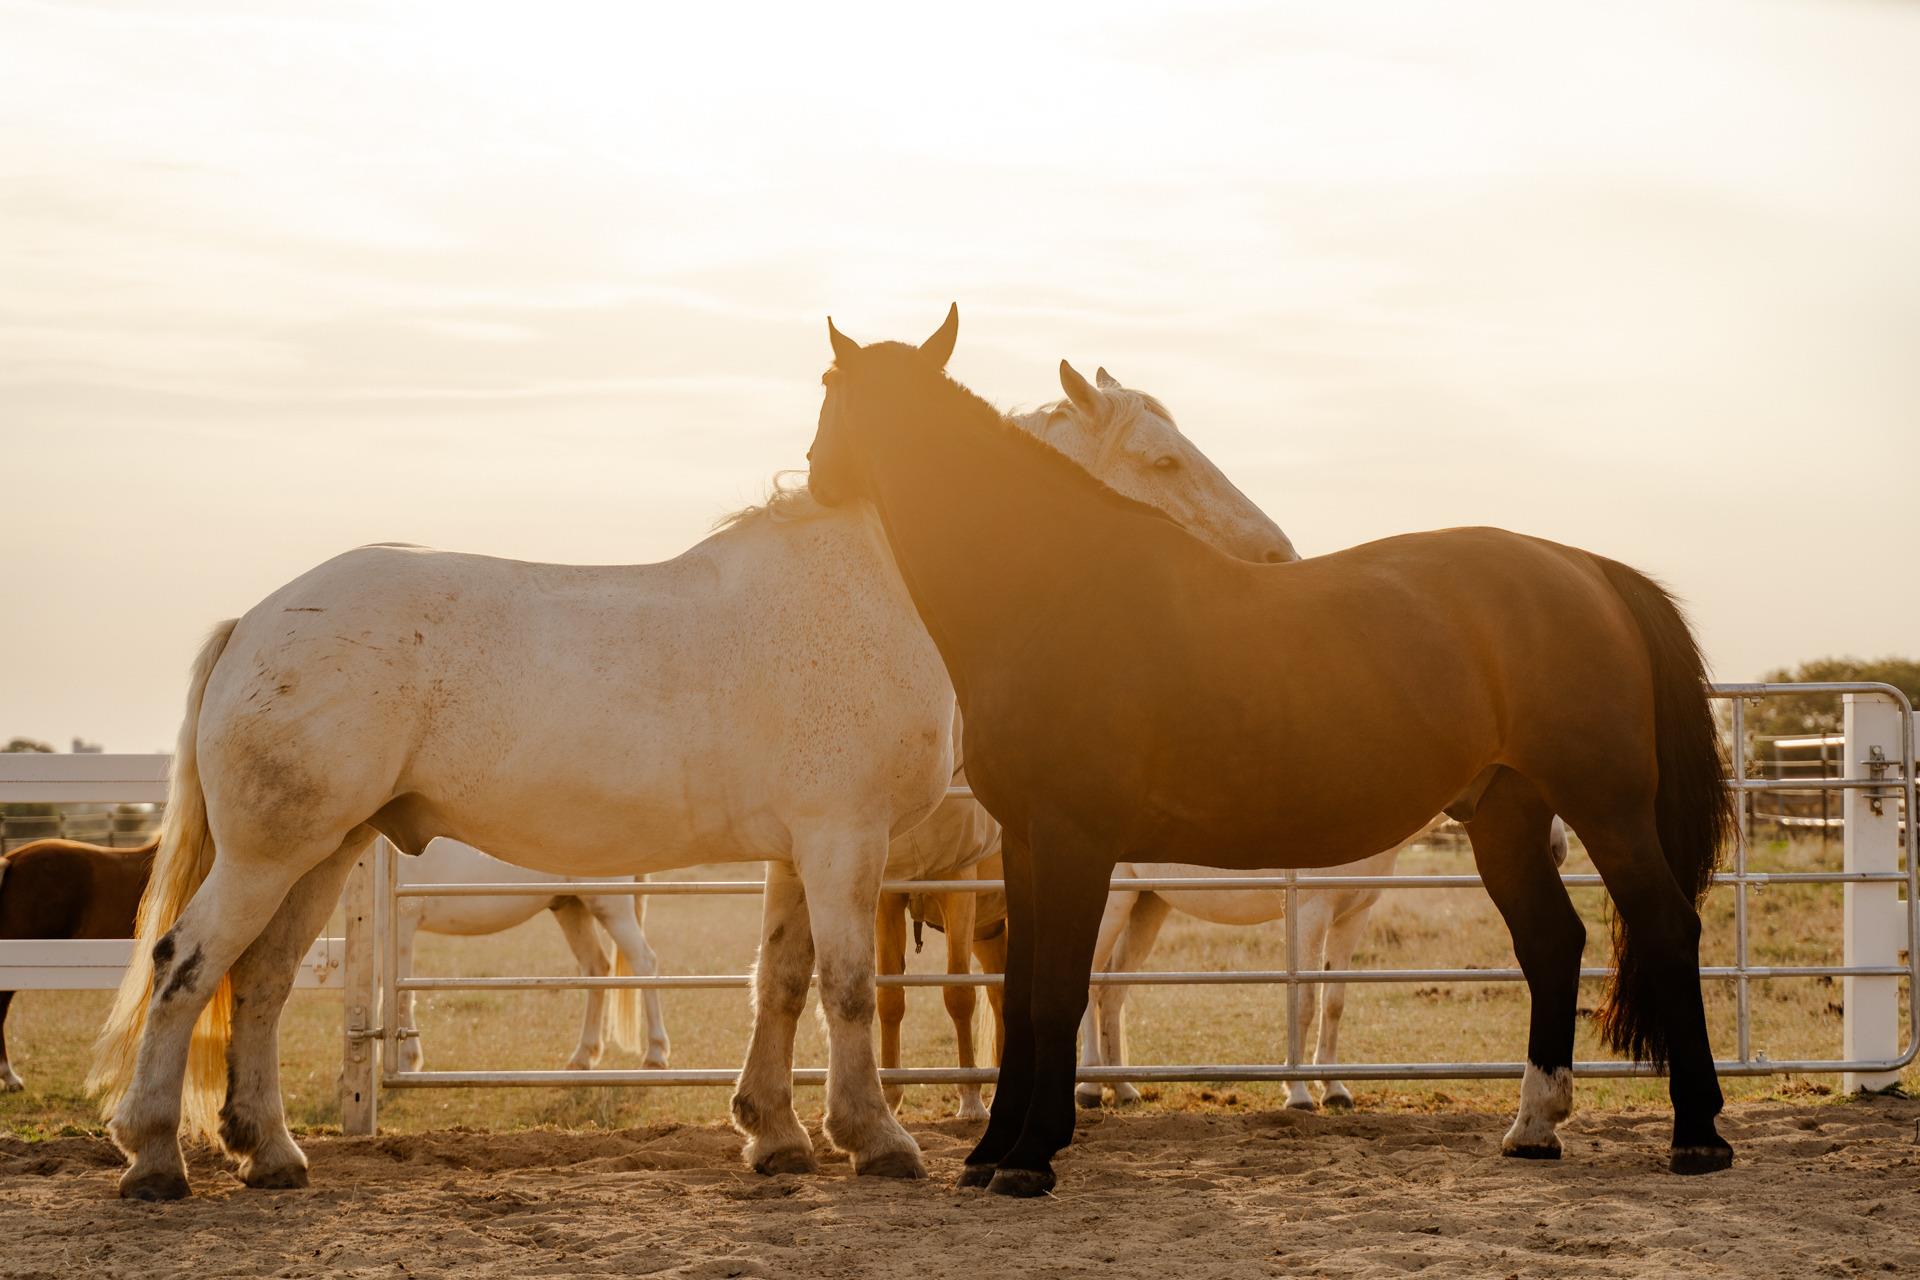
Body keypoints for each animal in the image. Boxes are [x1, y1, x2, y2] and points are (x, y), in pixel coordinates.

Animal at [393, 838, 670, 1073]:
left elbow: (402, 995)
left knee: (644, 962)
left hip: (610, 907)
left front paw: (408, 1062)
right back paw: (582, 1057)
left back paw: (655, 1055)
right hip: (572, 907)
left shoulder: (403, 924)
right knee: (597, 968)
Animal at [1076, 818, 1568, 1112]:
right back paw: (1088, 1089)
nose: (1555, 849)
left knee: (1112, 992)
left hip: (1147, 905)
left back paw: (1122, 1088)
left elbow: (1333, 1001)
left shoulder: (1351, 917)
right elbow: (1305, 1002)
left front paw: (1334, 1089)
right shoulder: (1309, 913)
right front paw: (1297, 1093)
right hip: (1113, 906)